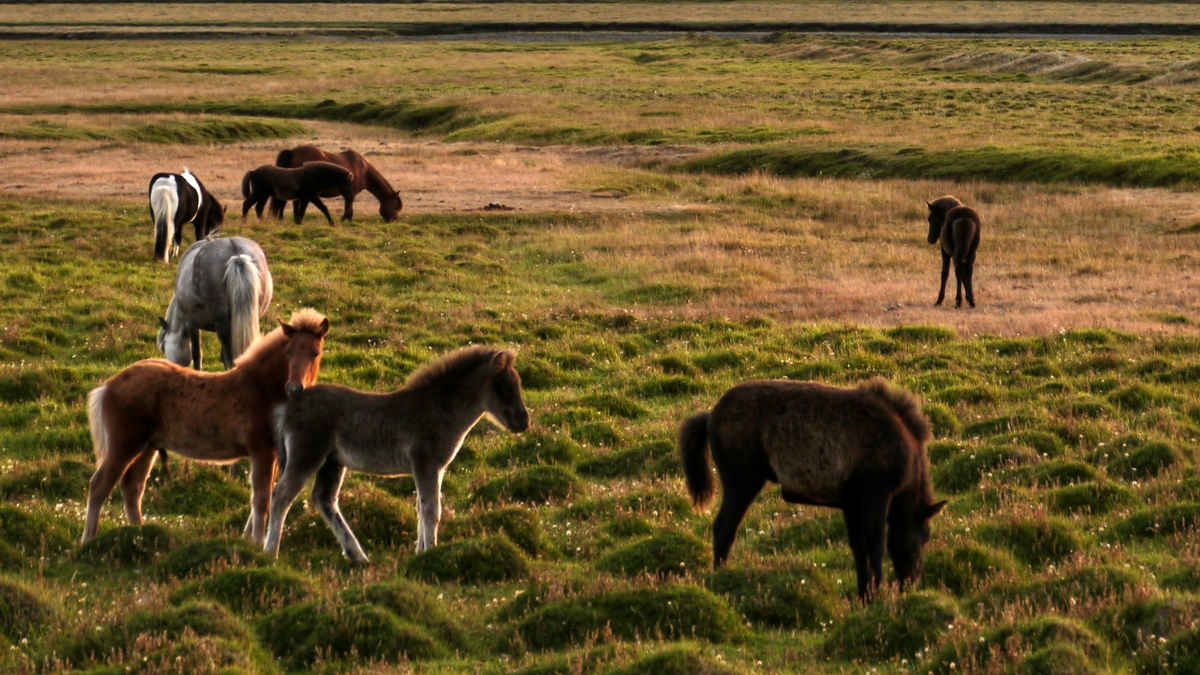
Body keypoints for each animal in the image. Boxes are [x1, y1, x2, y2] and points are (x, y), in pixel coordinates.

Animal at [82, 309, 329, 547]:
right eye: (288, 352)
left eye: (315, 353)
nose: (295, 388)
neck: (261, 388)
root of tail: (109, 385)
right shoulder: (261, 451)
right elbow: (261, 499)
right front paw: (258, 543)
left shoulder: (274, 454)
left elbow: (265, 494)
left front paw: (247, 538)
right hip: (124, 446)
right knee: (99, 485)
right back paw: (88, 540)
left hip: (147, 448)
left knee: (132, 487)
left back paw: (140, 534)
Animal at [264, 346, 530, 563]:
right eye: (503, 388)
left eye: (518, 384)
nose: (524, 421)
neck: (439, 410)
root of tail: (290, 406)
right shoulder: (425, 463)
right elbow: (431, 509)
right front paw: (429, 553)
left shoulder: (434, 469)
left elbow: (422, 507)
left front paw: (420, 551)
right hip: (306, 455)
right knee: (281, 494)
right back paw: (270, 553)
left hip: (332, 462)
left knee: (324, 499)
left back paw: (357, 556)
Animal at [270, 146, 403, 223]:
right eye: (395, 206)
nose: (394, 221)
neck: (362, 169)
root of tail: (293, 151)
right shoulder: (352, 193)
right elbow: (348, 208)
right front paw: (344, 219)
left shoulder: (350, 193)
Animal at [678, 378, 946, 601]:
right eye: (925, 537)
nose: (911, 583)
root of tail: (709, 418)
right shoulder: (876, 493)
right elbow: (875, 543)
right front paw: (875, 593)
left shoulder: (850, 501)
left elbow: (858, 545)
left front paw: (864, 595)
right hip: (743, 481)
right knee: (724, 527)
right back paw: (720, 578)